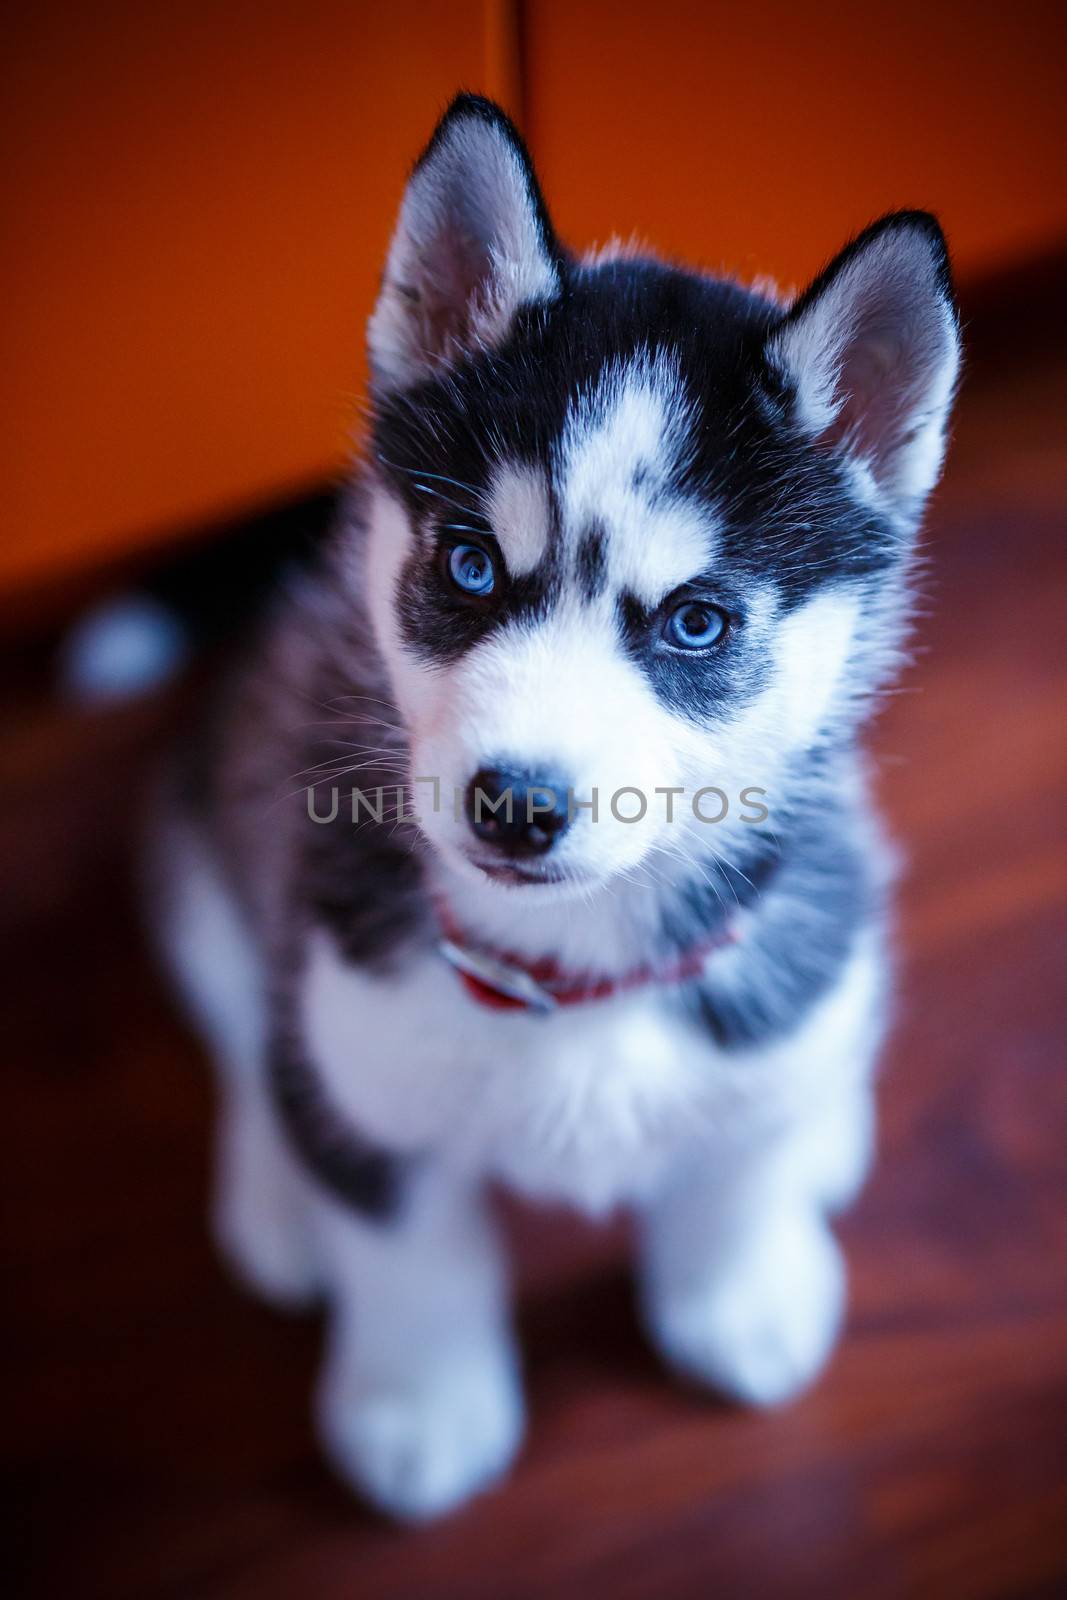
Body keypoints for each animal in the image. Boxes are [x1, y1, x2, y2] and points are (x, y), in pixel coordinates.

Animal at [150, 93, 959, 1516]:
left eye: (695, 622)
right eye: (472, 564)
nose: (512, 806)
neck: (572, 974)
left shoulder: (778, 976)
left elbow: (735, 1160)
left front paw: (738, 1291)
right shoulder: (356, 1008)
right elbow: (404, 1243)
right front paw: (418, 1403)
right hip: (223, 829)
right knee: (246, 1028)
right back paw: (271, 1197)